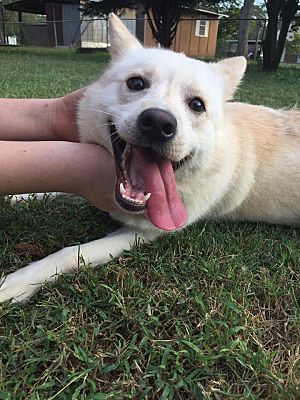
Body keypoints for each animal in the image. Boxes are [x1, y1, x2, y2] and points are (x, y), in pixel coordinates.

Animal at [1, 14, 298, 304]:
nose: (158, 123)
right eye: (136, 83)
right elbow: (56, 189)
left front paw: (17, 282)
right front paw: (17, 197)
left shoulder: (143, 232)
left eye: (197, 104)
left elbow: (71, 252)